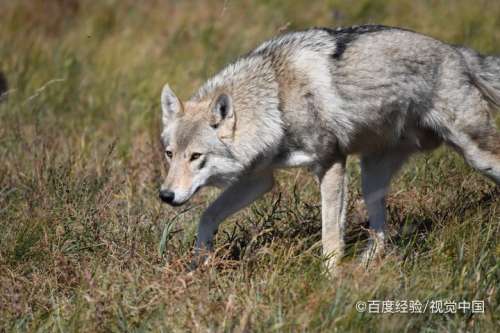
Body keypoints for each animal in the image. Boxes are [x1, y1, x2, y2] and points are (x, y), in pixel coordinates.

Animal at [157, 25, 500, 270]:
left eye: (196, 156)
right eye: (170, 155)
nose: (165, 196)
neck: (276, 99)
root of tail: (457, 53)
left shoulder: (331, 163)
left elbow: (330, 238)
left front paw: (330, 280)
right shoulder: (258, 179)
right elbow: (206, 218)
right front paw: (197, 266)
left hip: (477, 156)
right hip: (370, 178)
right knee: (381, 235)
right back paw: (364, 268)